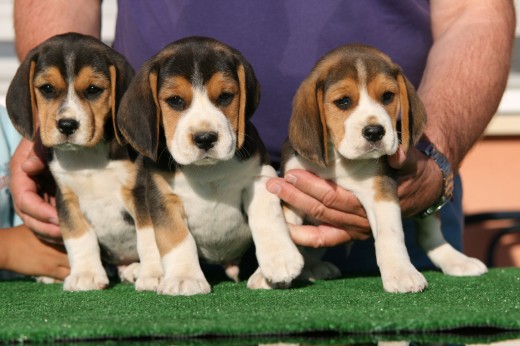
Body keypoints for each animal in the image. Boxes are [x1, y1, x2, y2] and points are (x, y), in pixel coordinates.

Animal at [5, 32, 161, 292]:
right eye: (47, 88)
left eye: (93, 90)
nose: (67, 125)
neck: (87, 157)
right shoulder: (67, 198)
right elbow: (79, 238)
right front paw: (86, 274)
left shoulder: (140, 192)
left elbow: (149, 237)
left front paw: (155, 275)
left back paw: (136, 268)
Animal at [117, 35, 304, 294]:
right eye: (175, 101)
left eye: (225, 96)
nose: (205, 138)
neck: (207, 170)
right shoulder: (161, 196)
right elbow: (176, 237)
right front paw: (184, 277)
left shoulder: (261, 175)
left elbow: (266, 215)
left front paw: (280, 259)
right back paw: (149, 273)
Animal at [280, 43, 488, 292]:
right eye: (343, 101)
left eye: (387, 96)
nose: (374, 132)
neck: (340, 161)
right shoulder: (293, 189)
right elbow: (286, 228)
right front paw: (271, 269)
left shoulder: (381, 191)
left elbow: (390, 234)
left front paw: (401, 273)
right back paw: (313, 268)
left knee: (430, 234)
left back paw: (456, 260)